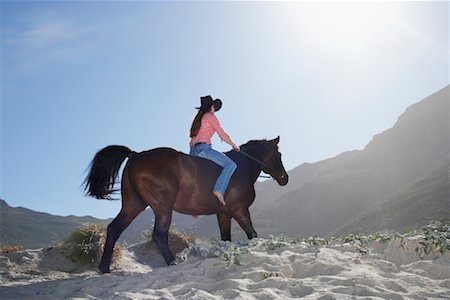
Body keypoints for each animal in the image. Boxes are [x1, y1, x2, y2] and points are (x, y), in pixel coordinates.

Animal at [83, 137, 288, 274]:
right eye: (279, 154)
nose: (284, 178)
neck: (242, 166)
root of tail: (136, 155)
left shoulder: (223, 213)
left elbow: (226, 239)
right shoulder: (240, 210)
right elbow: (252, 235)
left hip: (134, 205)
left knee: (114, 229)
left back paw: (104, 268)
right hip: (162, 207)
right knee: (159, 235)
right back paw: (172, 262)